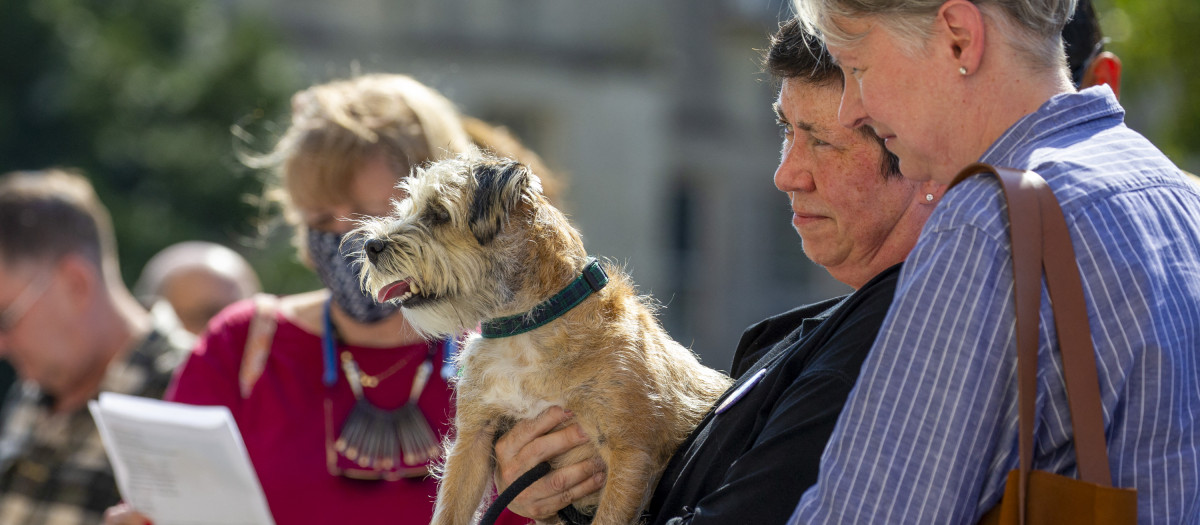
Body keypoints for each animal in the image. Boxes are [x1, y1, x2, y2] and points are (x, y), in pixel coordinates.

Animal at [350, 155, 729, 525]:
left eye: (439, 213)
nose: (370, 246)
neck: (525, 330)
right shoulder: (472, 441)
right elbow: (450, 511)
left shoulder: (630, 456)